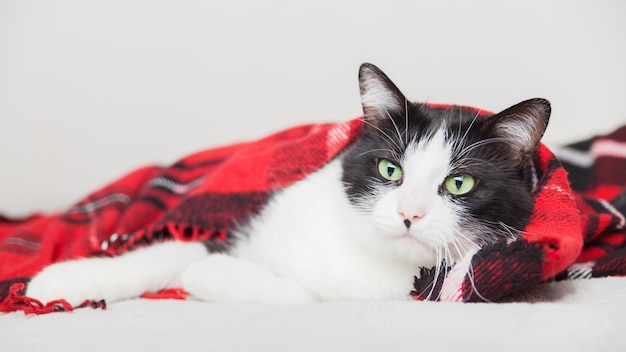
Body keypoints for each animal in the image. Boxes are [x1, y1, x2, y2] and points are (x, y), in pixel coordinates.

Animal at [26, 63, 548, 306]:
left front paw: (204, 276)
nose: (409, 214)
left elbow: (301, 295)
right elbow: (176, 249)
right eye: (390, 170)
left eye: (460, 183)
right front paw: (61, 281)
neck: (363, 252)